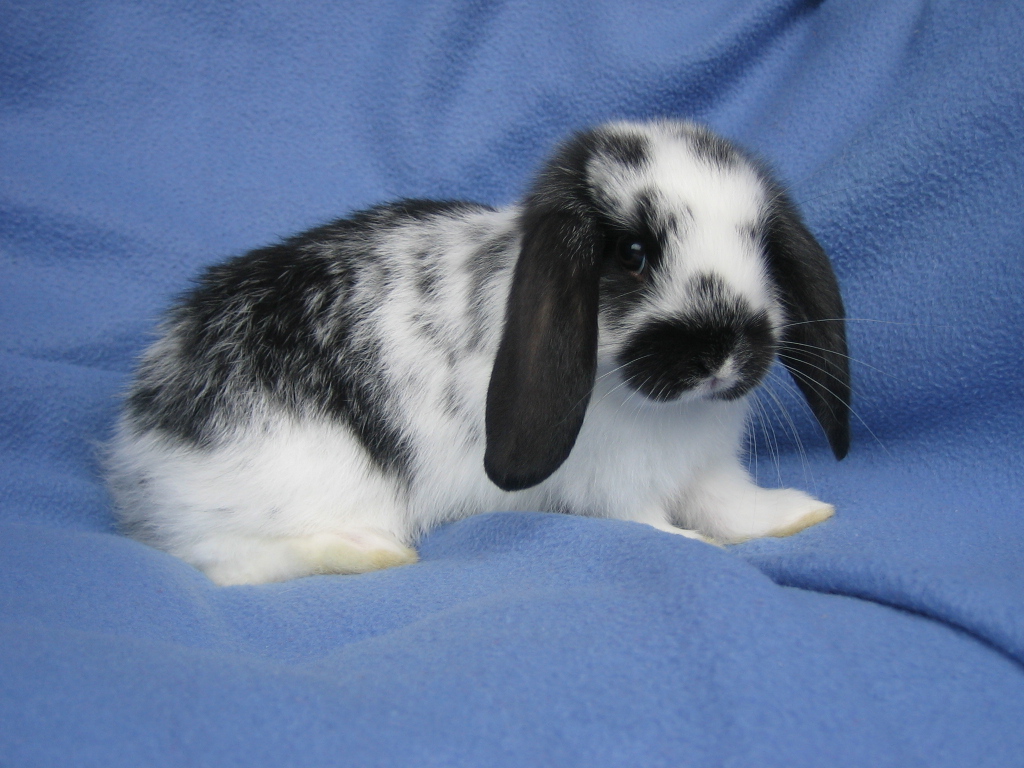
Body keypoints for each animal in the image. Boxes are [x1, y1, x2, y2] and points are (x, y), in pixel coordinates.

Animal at [107, 119, 850, 586]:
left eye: (759, 243)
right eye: (633, 253)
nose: (723, 350)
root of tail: (140, 441)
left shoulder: (708, 470)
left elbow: (734, 504)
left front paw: (802, 515)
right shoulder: (614, 485)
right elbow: (646, 525)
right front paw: (696, 548)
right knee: (227, 562)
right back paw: (373, 554)